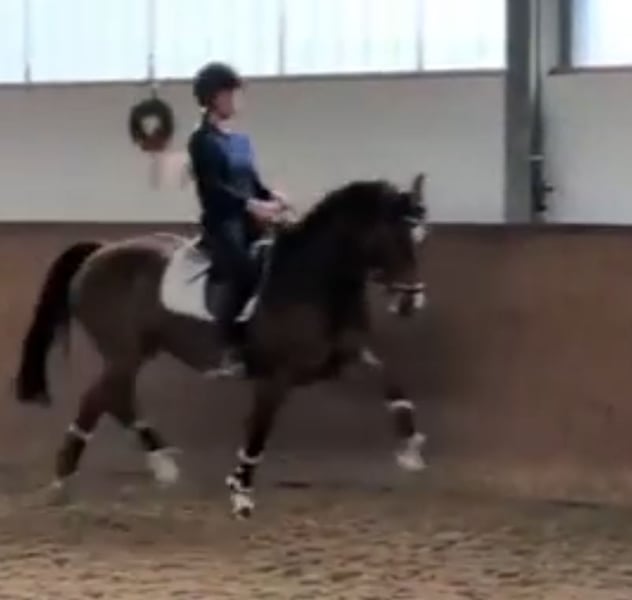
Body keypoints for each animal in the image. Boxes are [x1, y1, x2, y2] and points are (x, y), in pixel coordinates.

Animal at [15, 178, 427, 518]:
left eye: (418, 237)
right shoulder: (276, 376)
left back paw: (163, 465)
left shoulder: (350, 355)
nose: (412, 302)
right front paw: (241, 493)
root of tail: (99, 252)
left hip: (135, 352)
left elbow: (392, 383)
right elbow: (258, 430)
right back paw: (63, 481)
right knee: (97, 399)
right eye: (394, 237)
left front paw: (410, 450)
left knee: (115, 398)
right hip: (123, 352)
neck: (313, 279)